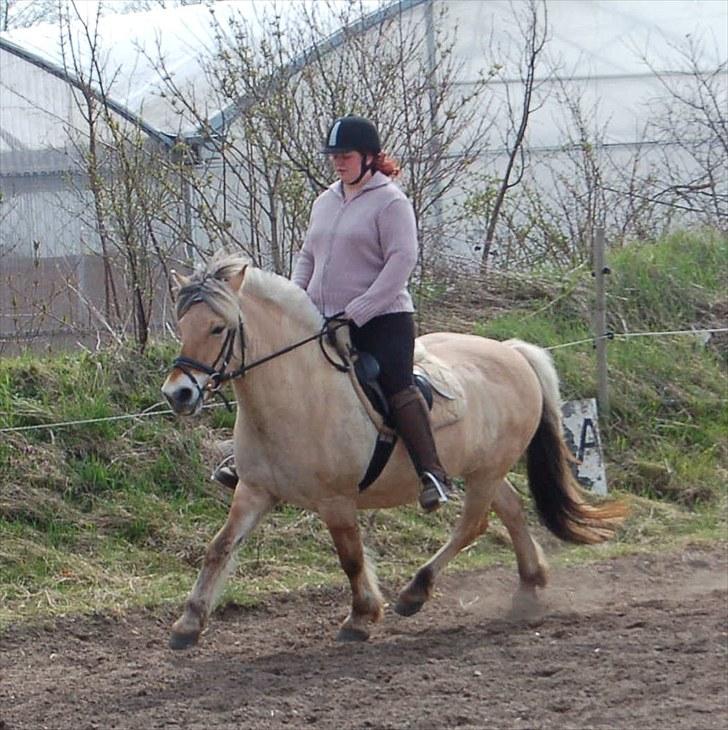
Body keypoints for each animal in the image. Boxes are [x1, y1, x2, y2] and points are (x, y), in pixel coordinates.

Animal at [161, 255, 624, 648]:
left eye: (217, 328)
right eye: (183, 325)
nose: (178, 394)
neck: (300, 393)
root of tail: (513, 352)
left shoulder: (336, 501)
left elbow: (350, 558)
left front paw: (361, 617)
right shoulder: (255, 490)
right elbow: (219, 547)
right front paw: (188, 624)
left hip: (486, 472)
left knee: (471, 525)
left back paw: (416, 592)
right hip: (483, 470)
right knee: (509, 509)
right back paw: (530, 583)